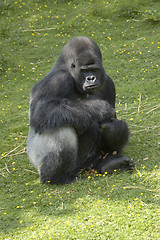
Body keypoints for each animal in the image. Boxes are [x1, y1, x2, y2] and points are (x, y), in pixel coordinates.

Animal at [26, 36, 134, 185]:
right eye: (84, 71)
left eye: (94, 70)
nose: (91, 78)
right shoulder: (57, 79)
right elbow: (41, 112)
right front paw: (100, 109)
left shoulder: (108, 83)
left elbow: (114, 121)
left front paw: (115, 129)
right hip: (39, 160)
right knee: (62, 128)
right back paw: (56, 177)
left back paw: (109, 164)